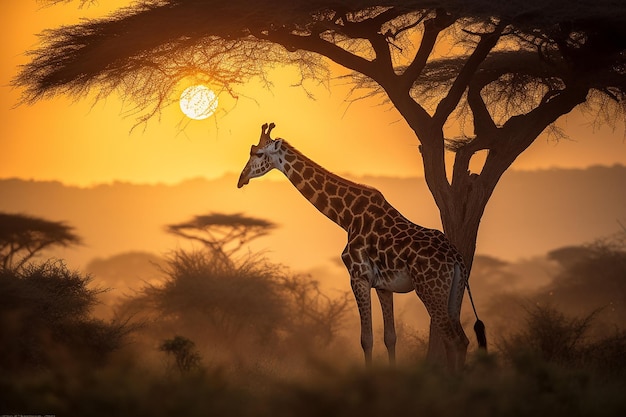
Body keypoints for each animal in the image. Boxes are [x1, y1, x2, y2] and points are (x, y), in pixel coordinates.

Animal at [236, 122, 486, 368]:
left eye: (258, 153)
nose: (241, 179)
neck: (347, 217)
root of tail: (457, 258)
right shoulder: (384, 285)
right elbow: (390, 337)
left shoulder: (358, 276)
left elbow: (366, 339)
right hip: (455, 290)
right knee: (461, 340)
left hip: (431, 290)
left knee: (453, 339)